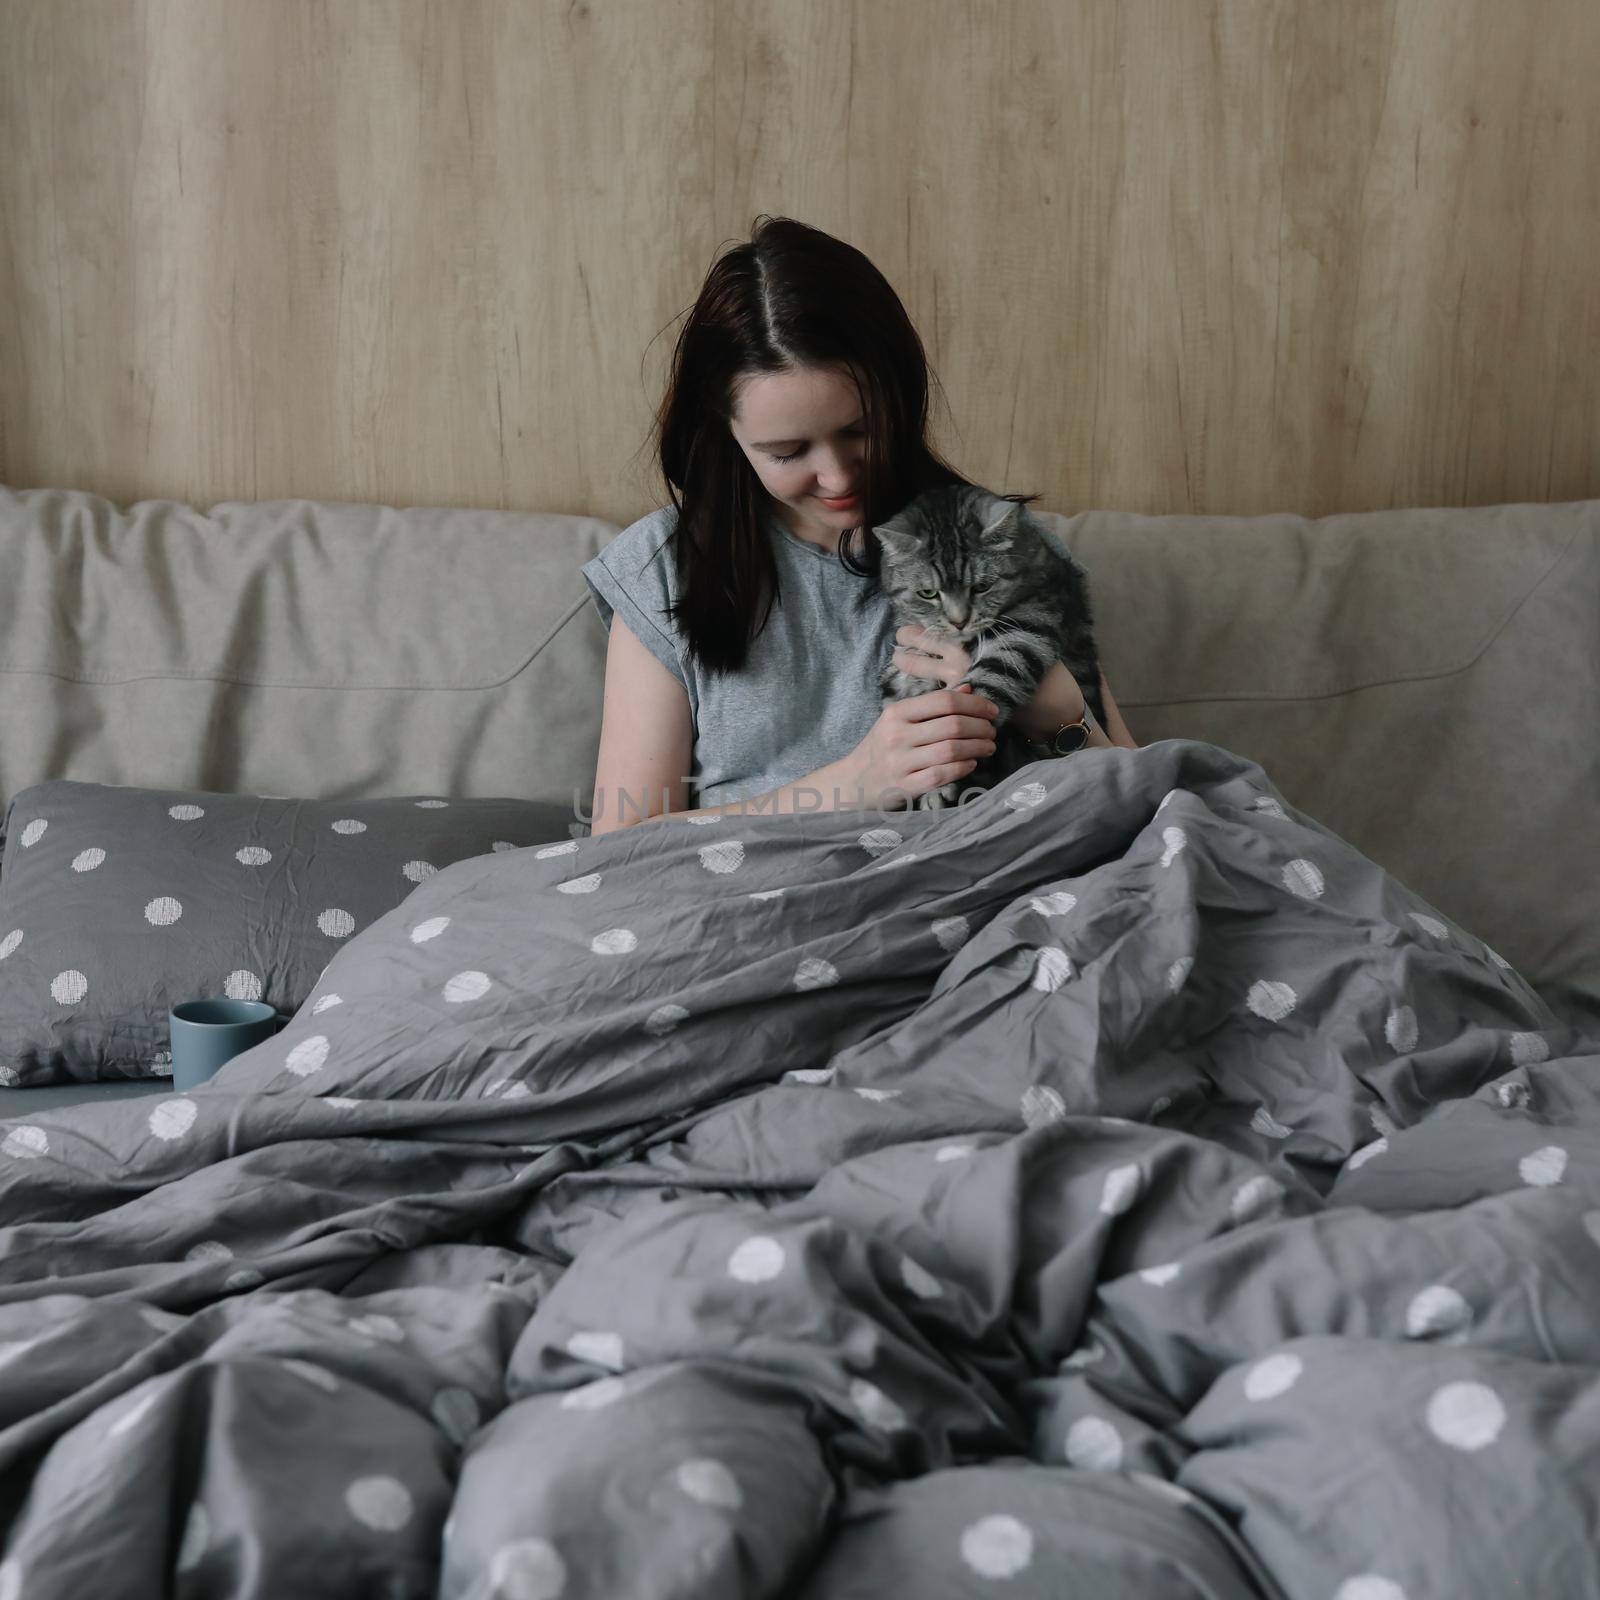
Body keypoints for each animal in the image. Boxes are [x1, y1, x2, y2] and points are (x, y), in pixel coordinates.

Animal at [870, 480, 1107, 806]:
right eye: (928, 593)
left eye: (982, 586)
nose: (958, 621)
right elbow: (905, 694)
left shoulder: (1029, 622)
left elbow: (986, 684)